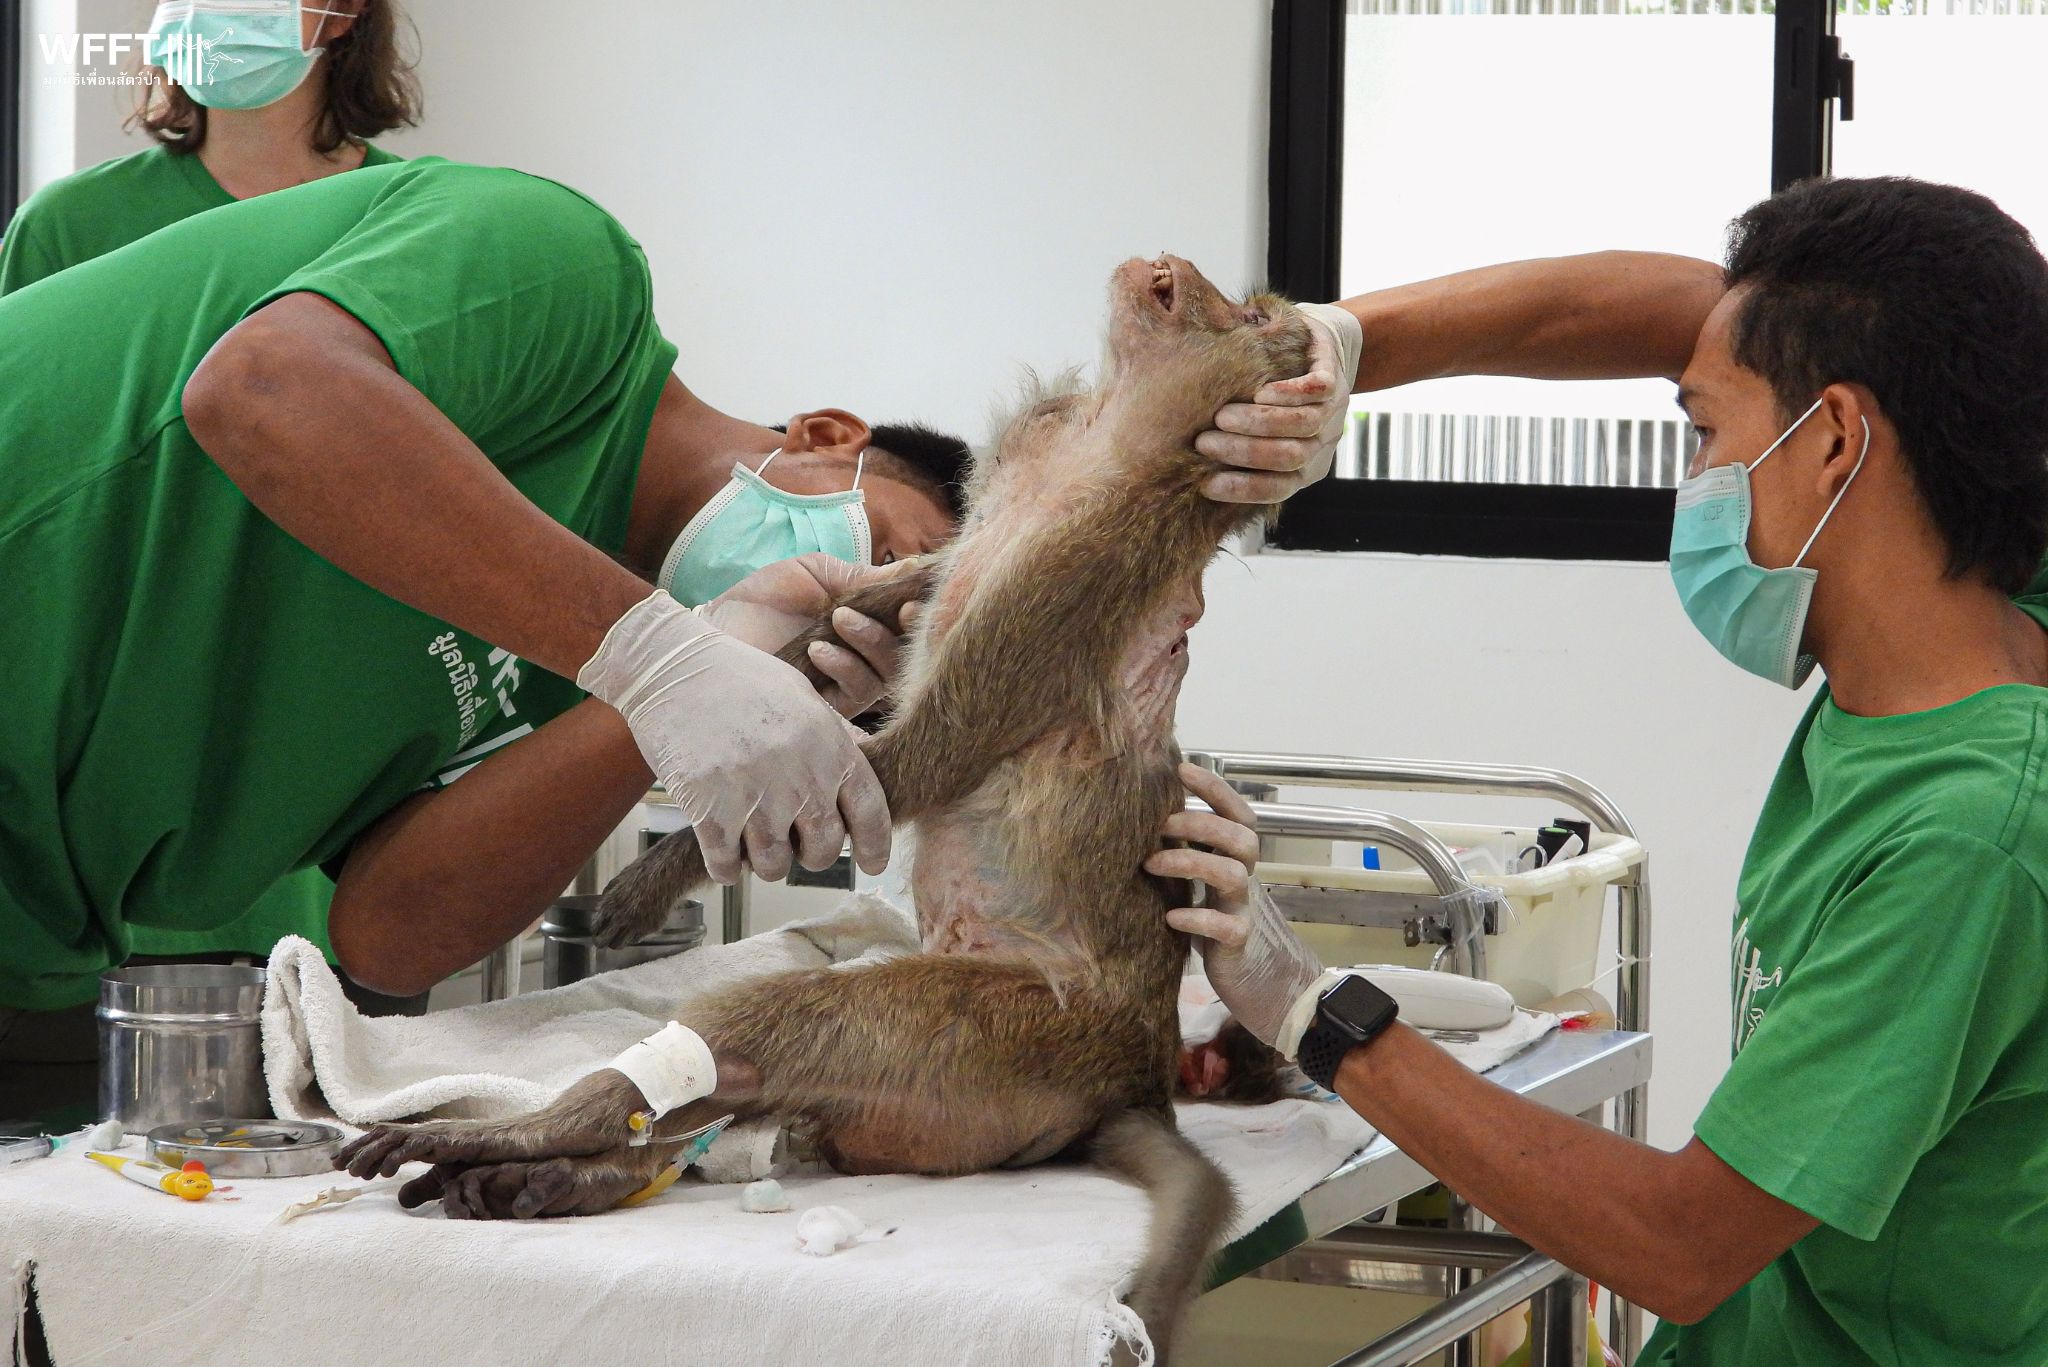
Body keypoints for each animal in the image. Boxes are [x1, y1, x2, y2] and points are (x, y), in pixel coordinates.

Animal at [336, 254, 1312, 1362]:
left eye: (1237, 313)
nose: (1168, 265)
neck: (1101, 444)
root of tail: (1131, 1078)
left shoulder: (1079, 567)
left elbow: (926, 754)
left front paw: (664, 867)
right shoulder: (995, 510)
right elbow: (860, 612)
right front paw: (756, 672)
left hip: (998, 1034)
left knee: (775, 1019)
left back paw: (539, 1132)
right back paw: (570, 1171)